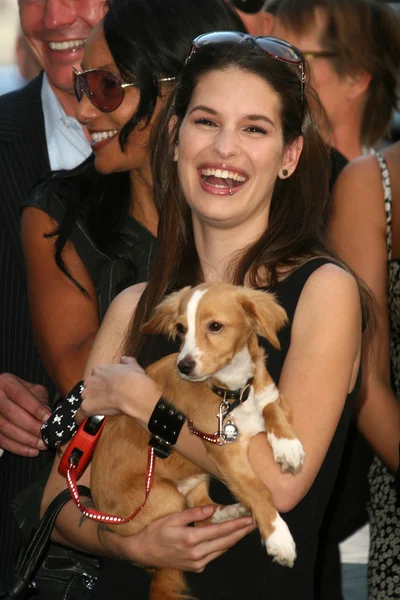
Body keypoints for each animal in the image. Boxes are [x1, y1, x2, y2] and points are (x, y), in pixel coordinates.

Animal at [91, 282, 306, 600]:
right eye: (181, 329)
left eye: (215, 326)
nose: (184, 366)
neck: (231, 392)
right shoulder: (224, 450)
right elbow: (258, 490)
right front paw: (278, 536)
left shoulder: (274, 399)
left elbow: (271, 411)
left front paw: (288, 447)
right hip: (165, 498)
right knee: (197, 516)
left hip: (196, 481)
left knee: (204, 511)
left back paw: (233, 511)